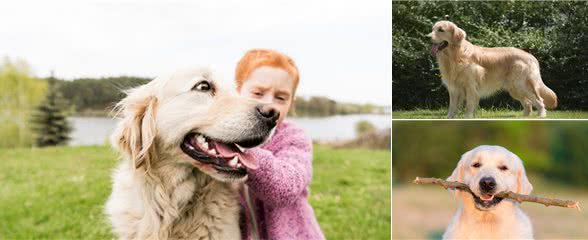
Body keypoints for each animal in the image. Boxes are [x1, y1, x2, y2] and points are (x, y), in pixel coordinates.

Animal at [428, 20, 556, 118]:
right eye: (433, 29)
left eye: (441, 30)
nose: (427, 37)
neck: (455, 56)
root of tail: (530, 56)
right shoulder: (454, 89)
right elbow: (452, 107)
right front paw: (449, 118)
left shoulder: (470, 86)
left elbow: (469, 105)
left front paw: (467, 117)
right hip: (514, 89)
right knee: (528, 104)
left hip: (522, 85)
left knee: (539, 101)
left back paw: (541, 116)